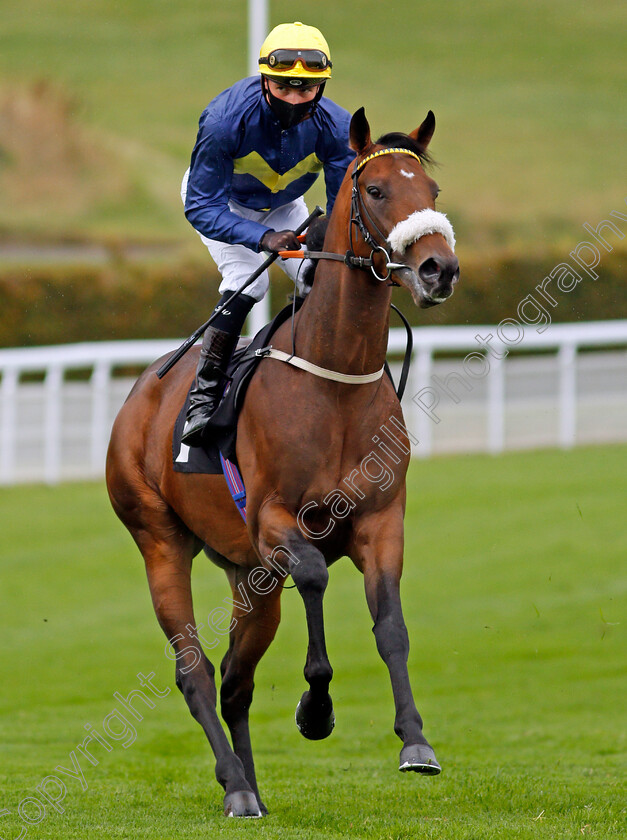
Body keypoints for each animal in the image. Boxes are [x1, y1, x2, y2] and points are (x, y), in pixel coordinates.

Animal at [106, 108, 462, 816]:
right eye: (375, 189)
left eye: (432, 192)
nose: (439, 268)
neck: (334, 381)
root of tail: (137, 398)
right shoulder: (273, 520)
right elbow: (317, 577)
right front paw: (315, 709)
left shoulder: (381, 521)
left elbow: (391, 625)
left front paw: (415, 741)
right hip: (159, 539)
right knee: (195, 672)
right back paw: (238, 786)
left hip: (249, 578)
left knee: (235, 680)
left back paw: (250, 789)